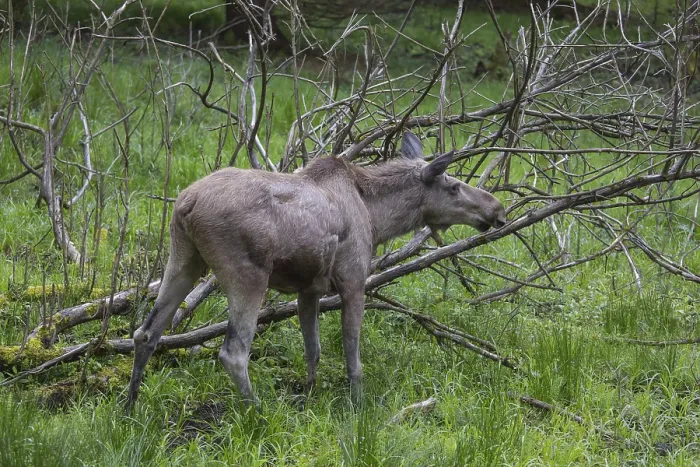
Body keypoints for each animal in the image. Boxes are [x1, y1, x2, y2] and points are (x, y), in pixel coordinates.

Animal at [126, 132, 506, 410]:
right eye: (453, 186)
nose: (497, 209)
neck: (377, 218)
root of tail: (185, 204)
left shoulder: (308, 290)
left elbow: (314, 349)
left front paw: (311, 394)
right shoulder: (353, 280)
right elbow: (352, 355)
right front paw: (357, 405)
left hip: (184, 259)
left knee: (145, 333)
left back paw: (130, 407)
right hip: (246, 274)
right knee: (233, 352)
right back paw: (258, 412)